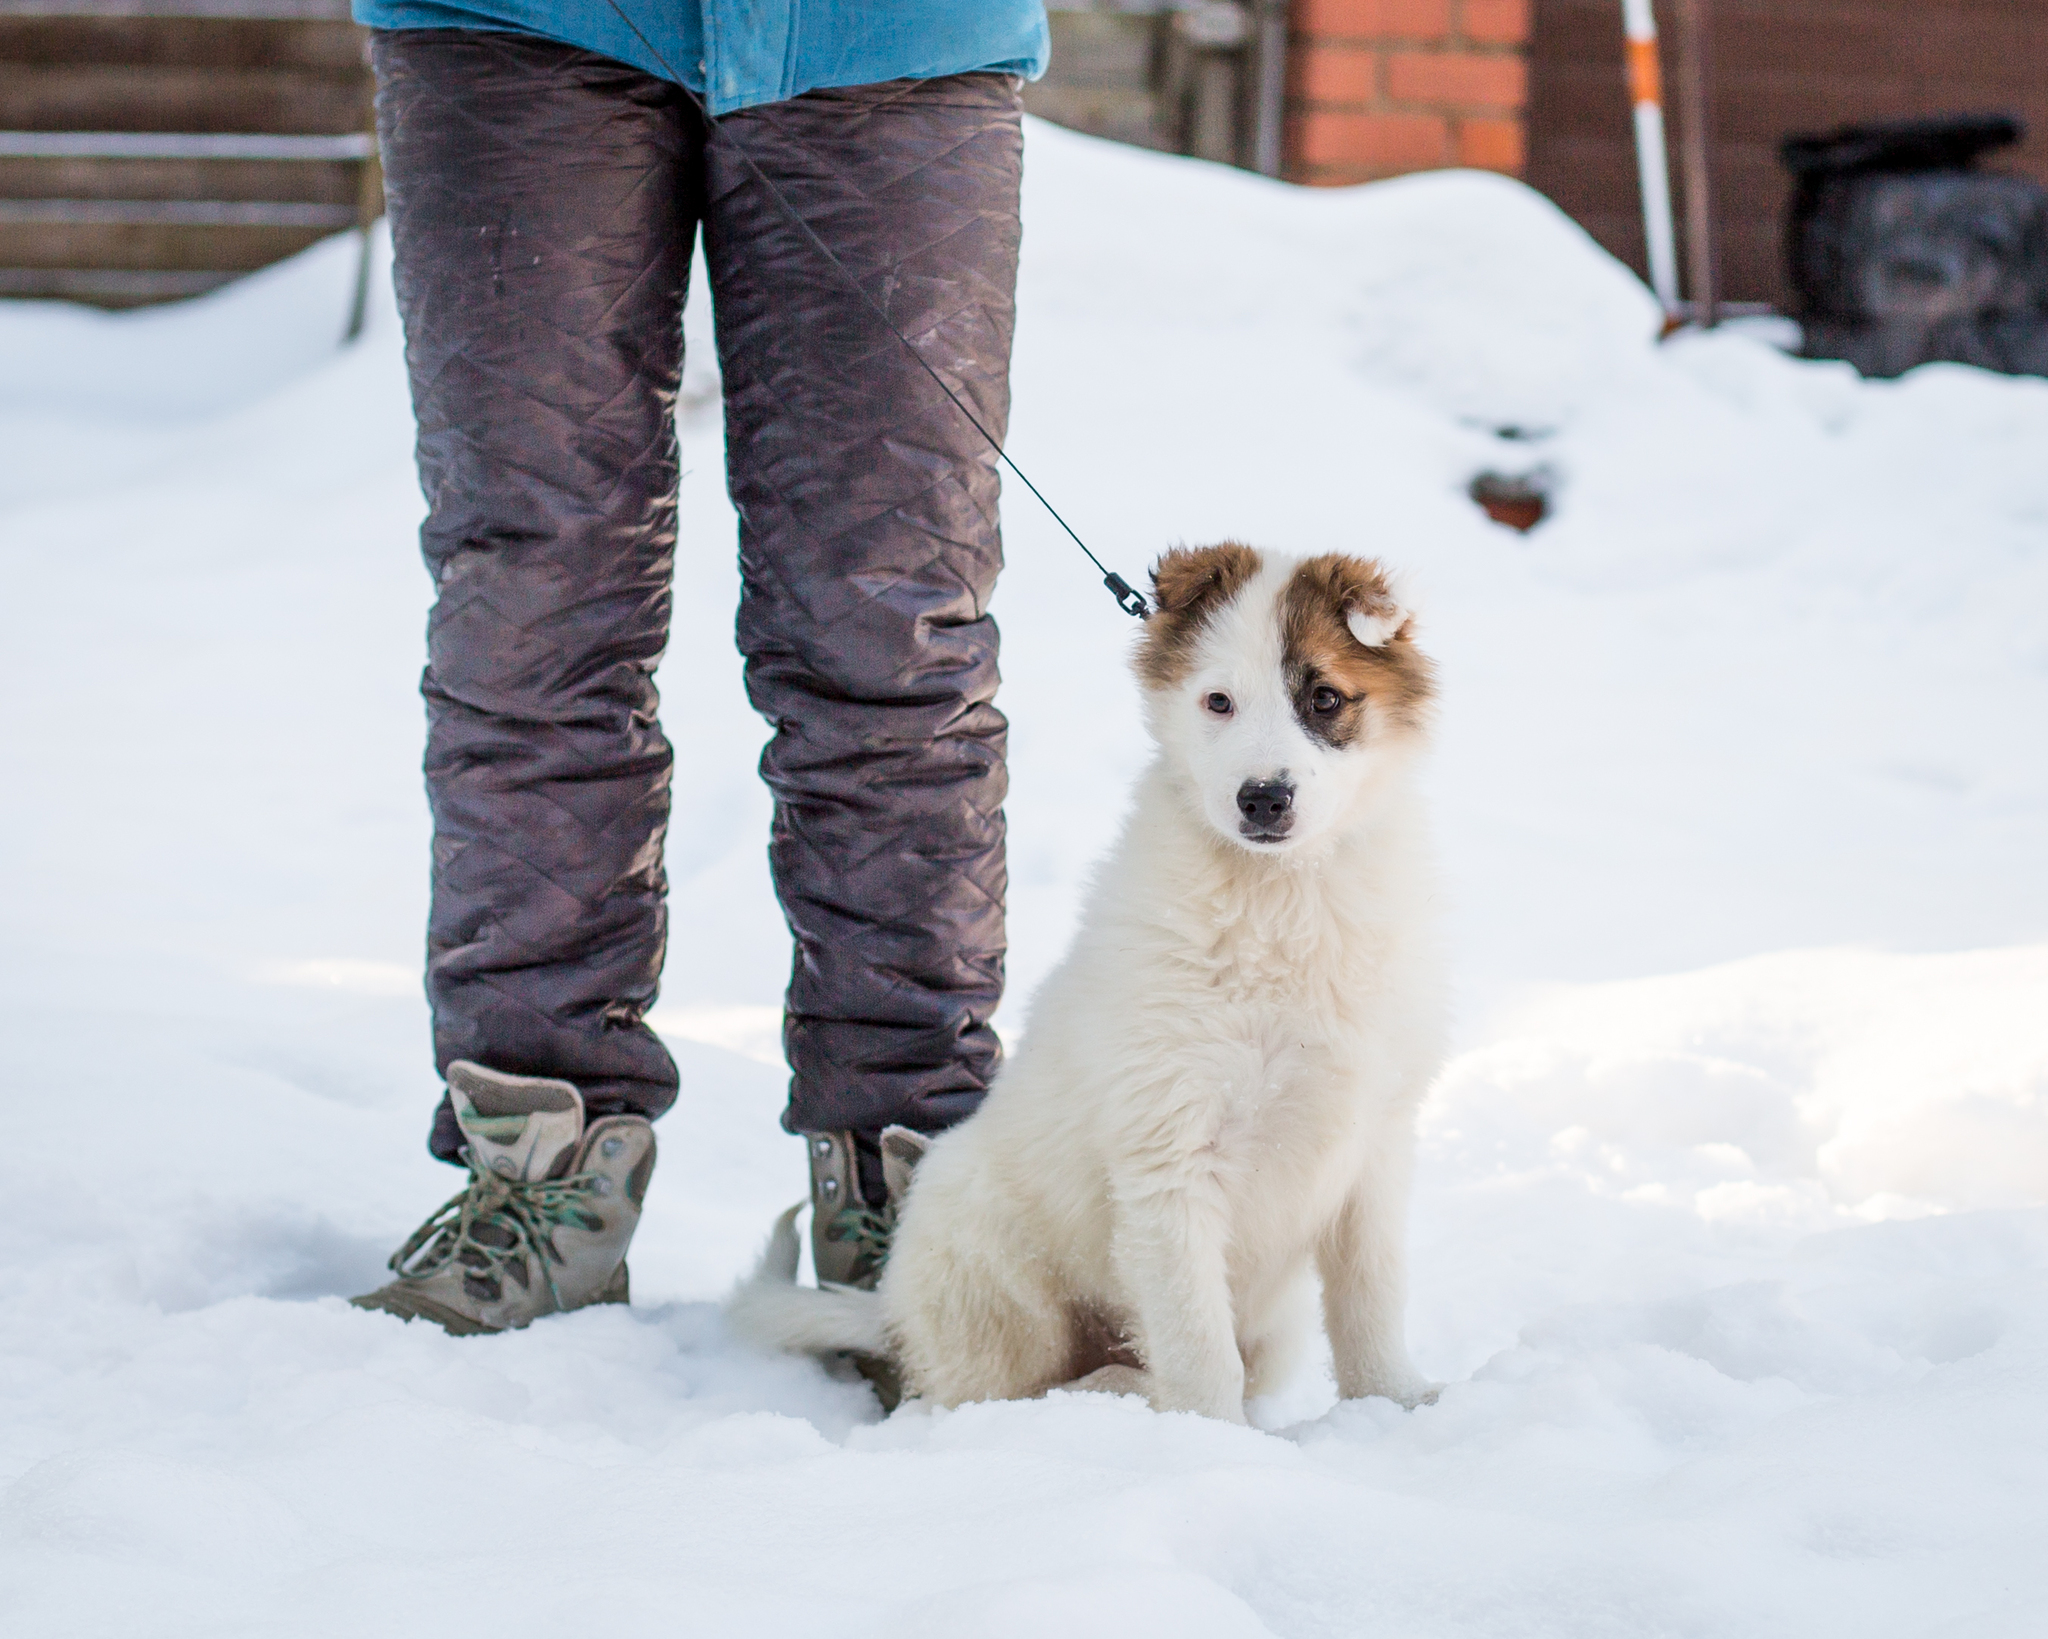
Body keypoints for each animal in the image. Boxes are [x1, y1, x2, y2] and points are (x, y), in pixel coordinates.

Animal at [729, 544, 1449, 1417]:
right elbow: (1199, 1349)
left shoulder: (1372, 1142)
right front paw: (1213, 1438)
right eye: (1218, 701)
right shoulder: (1168, 1158)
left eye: (1324, 697)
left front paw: (1398, 1403)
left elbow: (1370, 1301)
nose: (1263, 798)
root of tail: (892, 1308)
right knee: (988, 1393)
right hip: (1001, 1295)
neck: (1284, 898)